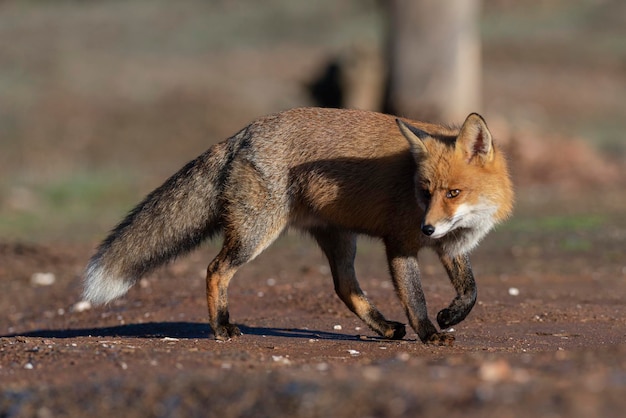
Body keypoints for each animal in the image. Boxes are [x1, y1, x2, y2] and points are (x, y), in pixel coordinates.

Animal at [83, 108, 512, 346]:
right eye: (424, 191)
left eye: (453, 193)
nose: (427, 229)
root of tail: (243, 133)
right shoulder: (400, 244)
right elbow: (415, 298)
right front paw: (429, 333)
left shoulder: (450, 245)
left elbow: (471, 290)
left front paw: (451, 315)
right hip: (256, 233)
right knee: (215, 269)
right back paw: (221, 326)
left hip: (341, 239)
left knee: (344, 287)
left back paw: (383, 328)